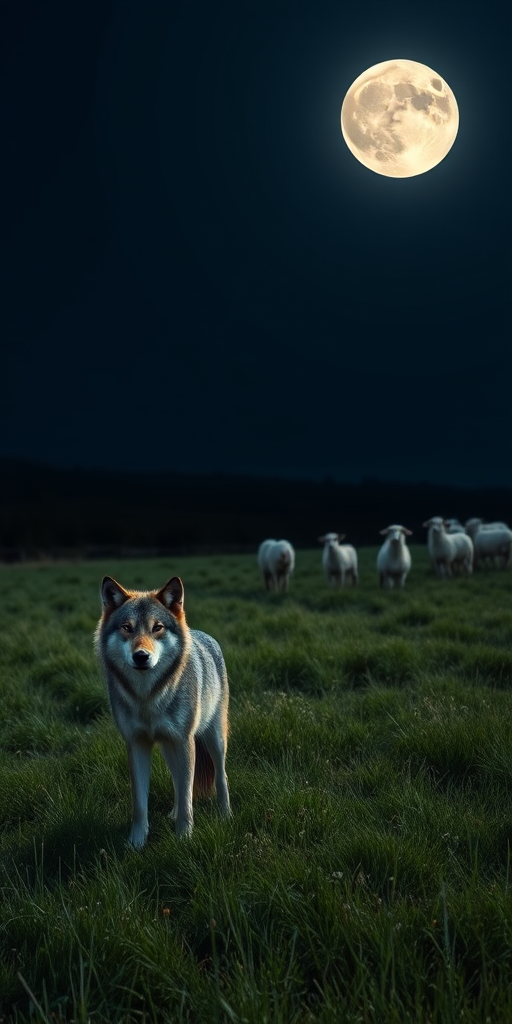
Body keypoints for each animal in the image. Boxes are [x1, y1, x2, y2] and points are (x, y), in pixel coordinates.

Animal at [94, 575, 231, 848]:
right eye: (127, 628)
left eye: (157, 627)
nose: (141, 656)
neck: (148, 697)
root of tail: (203, 634)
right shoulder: (136, 744)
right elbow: (140, 803)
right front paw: (135, 843)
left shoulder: (185, 741)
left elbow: (188, 795)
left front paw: (184, 837)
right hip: (170, 748)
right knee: (178, 781)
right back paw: (174, 813)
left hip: (213, 740)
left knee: (220, 777)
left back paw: (226, 815)